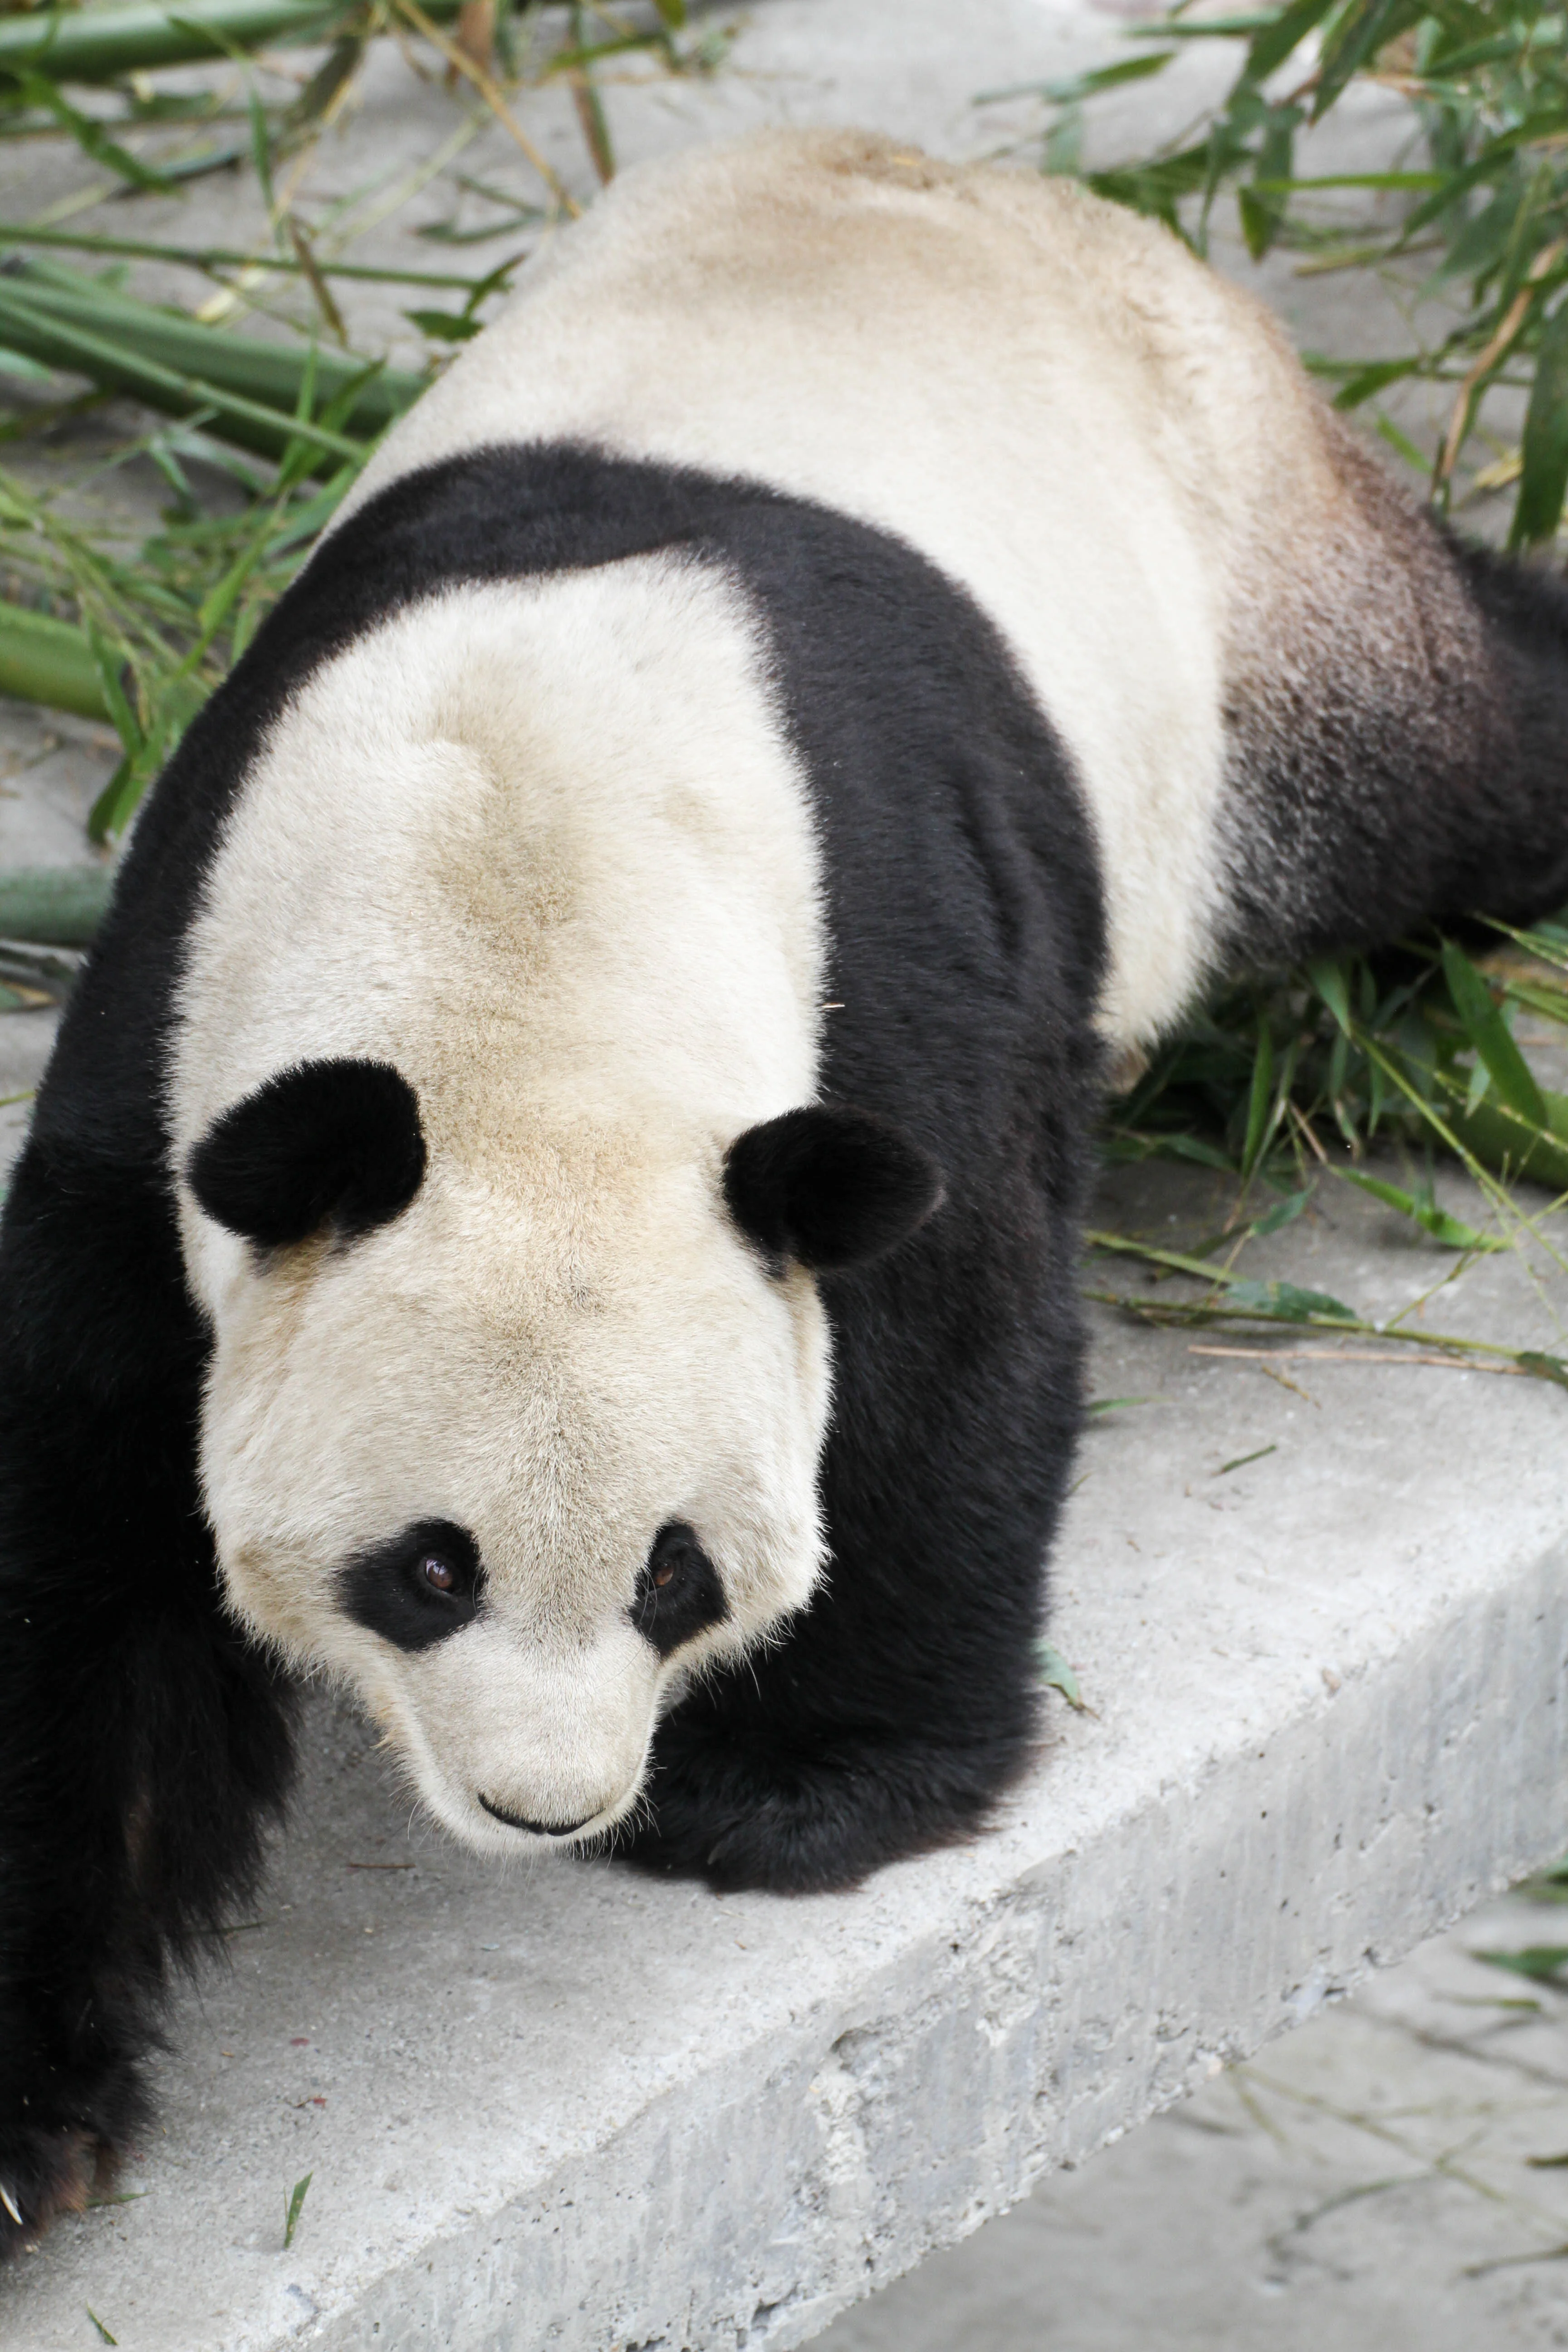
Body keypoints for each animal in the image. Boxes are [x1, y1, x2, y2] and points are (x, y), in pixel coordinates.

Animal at [2, 127, 1566, 2252]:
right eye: (429, 1567)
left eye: (674, 1570)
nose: (549, 1808)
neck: (523, 896)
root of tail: (986, 181)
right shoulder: (172, 1033)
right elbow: (73, 1544)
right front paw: (30, 2118)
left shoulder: (882, 979)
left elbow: (945, 1345)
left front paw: (811, 1785)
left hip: (1251, 618)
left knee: (1448, 762)